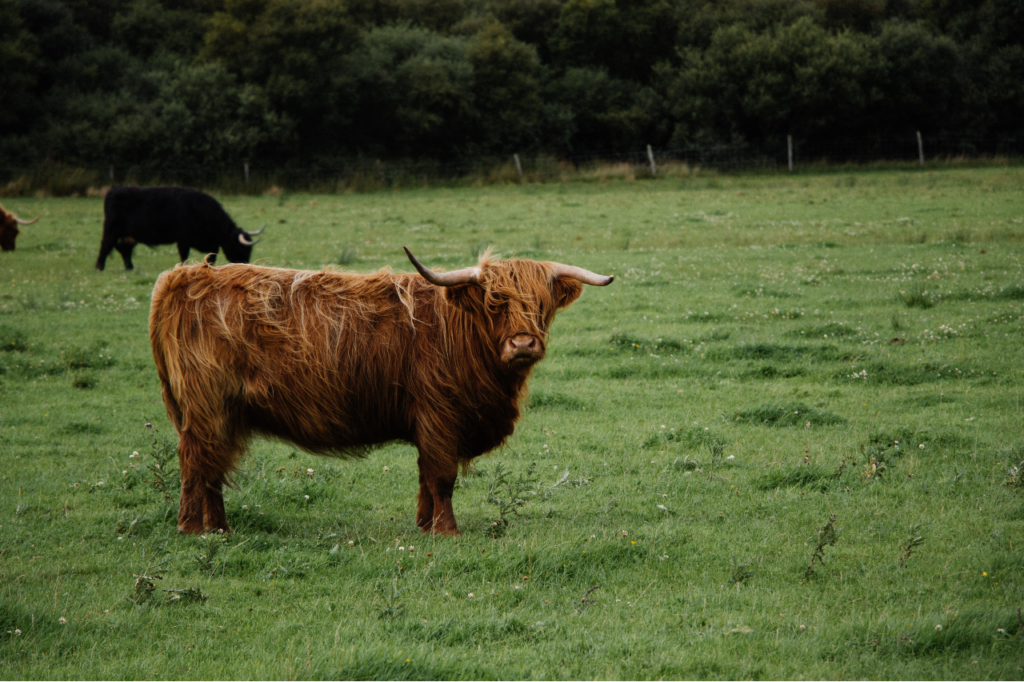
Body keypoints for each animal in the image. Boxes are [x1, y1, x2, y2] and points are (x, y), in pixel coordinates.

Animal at [96, 187, 266, 272]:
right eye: (240, 248)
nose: (246, 265)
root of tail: (113, 189)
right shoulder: (183, 239)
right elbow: (184, 256)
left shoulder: (211, 244)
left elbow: (211, 258)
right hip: (111, 229)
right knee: (105, 245)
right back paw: (99, 267)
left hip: (128, 235)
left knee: (124, 249)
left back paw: (130, 268)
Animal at [149, 246, 614, 532]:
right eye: (493, 303)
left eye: (541, 305)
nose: (522, 344)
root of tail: (185, 276)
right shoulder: (440, 416)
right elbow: (442, 477)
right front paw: (447, 531)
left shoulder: (429, 424)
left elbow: (425, 477)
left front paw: (424, 525)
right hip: (207, 407)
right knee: (196, 463)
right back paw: (192, 528)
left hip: (223, 414)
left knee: (213, 467)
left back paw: (220, 529)